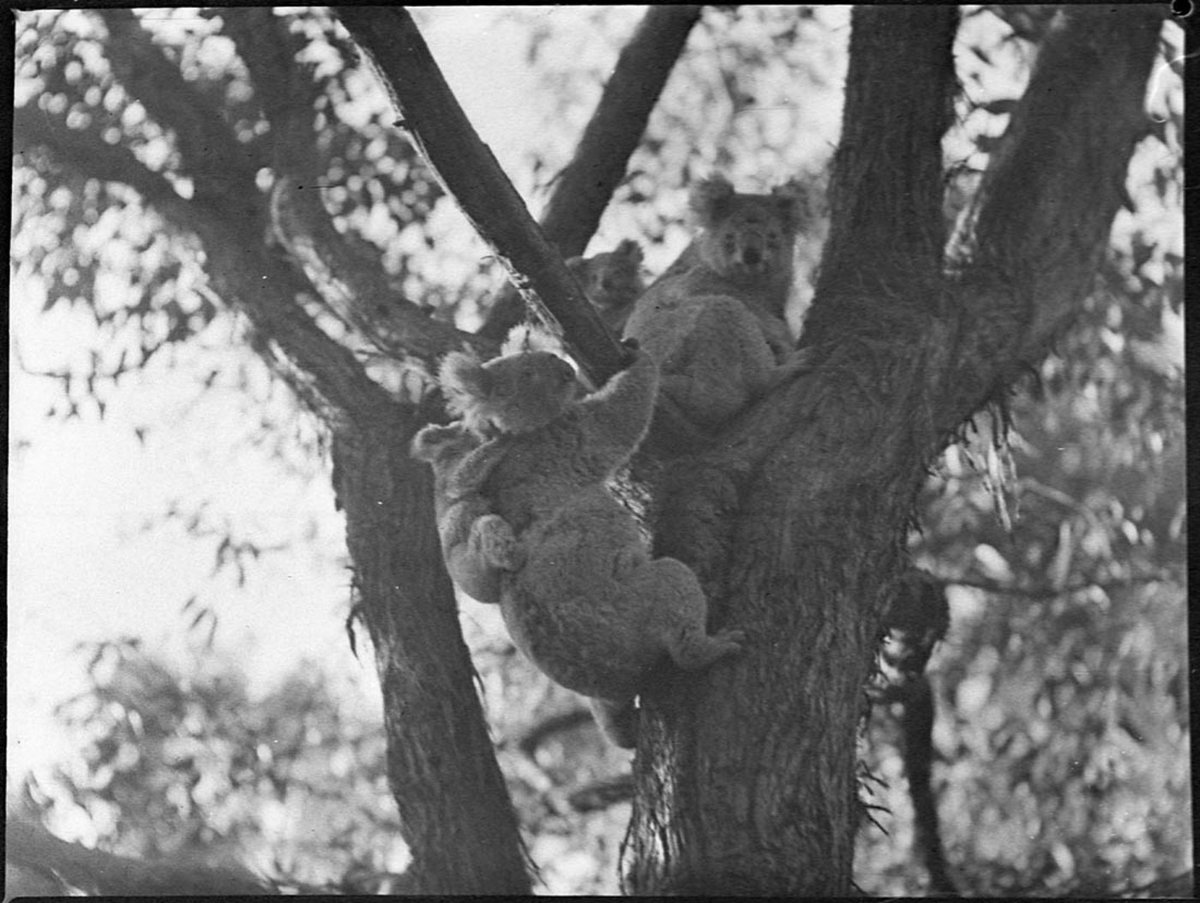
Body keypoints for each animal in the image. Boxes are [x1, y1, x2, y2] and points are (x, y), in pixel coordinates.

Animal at [418, 336, 744, 747]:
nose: (563, 364)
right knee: (677, 606)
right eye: (527, 370)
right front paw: (639, 356)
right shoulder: (571, 433)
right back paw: (717, 646)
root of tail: (612, 679)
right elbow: (622, 414)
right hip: (638, 608)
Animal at [622, 175, 811, 430]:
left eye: (773, 237)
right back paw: (782, 371)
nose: (751, 255)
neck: (753, 285)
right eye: (729, 237)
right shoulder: (697, 281)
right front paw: (782, 340)